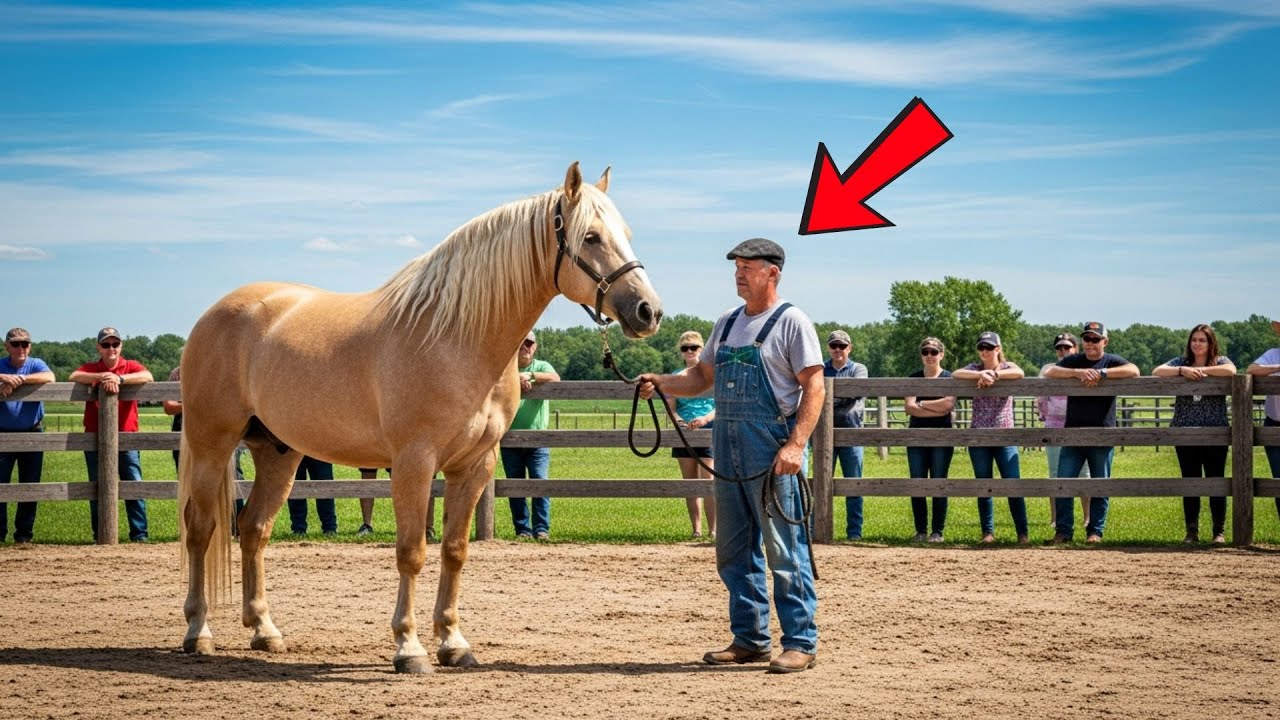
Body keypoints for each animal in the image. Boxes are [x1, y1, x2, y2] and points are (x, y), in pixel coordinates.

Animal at [177, 163, 663, 673]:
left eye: (626, 234)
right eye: (590, 236)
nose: (649, 311)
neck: (455, 338)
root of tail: (217, 313)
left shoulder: (474, 466)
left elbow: (454, 550)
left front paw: (453, 642)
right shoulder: (413, 462)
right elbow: (412, 552)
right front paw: (408, 648)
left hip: (278, 452)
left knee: (253, 529)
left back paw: (264, 631)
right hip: (212, 444)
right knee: (201, 528)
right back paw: (198, 632)